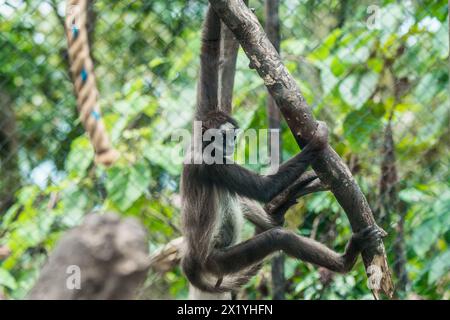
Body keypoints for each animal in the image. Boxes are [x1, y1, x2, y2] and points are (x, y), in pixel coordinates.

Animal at [181, 5, 382, 296]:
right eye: (223, 137)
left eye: (231, 136)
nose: (229, 145)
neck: (202, 147)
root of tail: (194, 262)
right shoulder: (211, 164)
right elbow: (263, 188)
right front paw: (317, 142)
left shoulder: (202, 119)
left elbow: (208, 53)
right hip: (219, 261)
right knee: (278, 237)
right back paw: (345, 260)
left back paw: (277, 213)